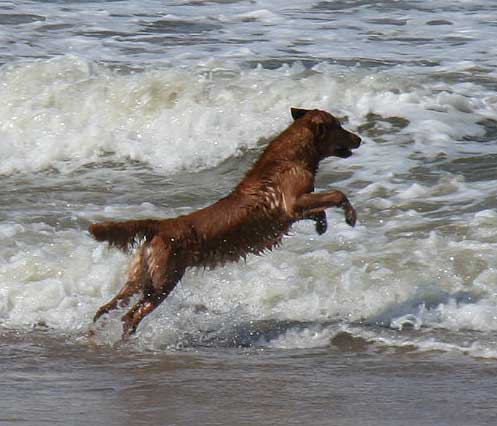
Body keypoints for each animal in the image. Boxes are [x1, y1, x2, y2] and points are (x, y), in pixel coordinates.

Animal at [89, 108, 361, 337]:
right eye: (339, 126)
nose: (359, 139)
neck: (293, 157)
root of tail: (161, 226)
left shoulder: (295, 209)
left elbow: (320, 208)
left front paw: (322, 225)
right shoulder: (292, 202)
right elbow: (336, 194)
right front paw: (350, 216)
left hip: (139, 278)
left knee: (107, 308)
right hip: (163, 281)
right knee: (130, 316)